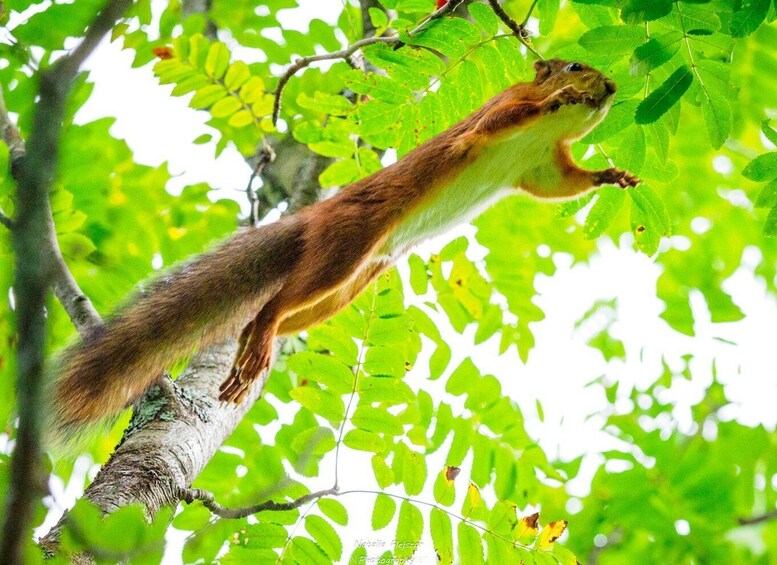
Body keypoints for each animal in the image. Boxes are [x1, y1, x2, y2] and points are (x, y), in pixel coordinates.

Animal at [49, 58, 639, 446]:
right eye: (575, 65)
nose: (611, 86)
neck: (546, 134)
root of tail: (315, 215)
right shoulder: (496, 113)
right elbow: (499, 123)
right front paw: (557, 99)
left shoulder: (540, 166)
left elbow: (561, 184)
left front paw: (611, 176)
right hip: (345, 247)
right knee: (276, 302)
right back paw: (260, 333)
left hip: (348, 286)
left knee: (281, 313)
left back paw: (250, 348)